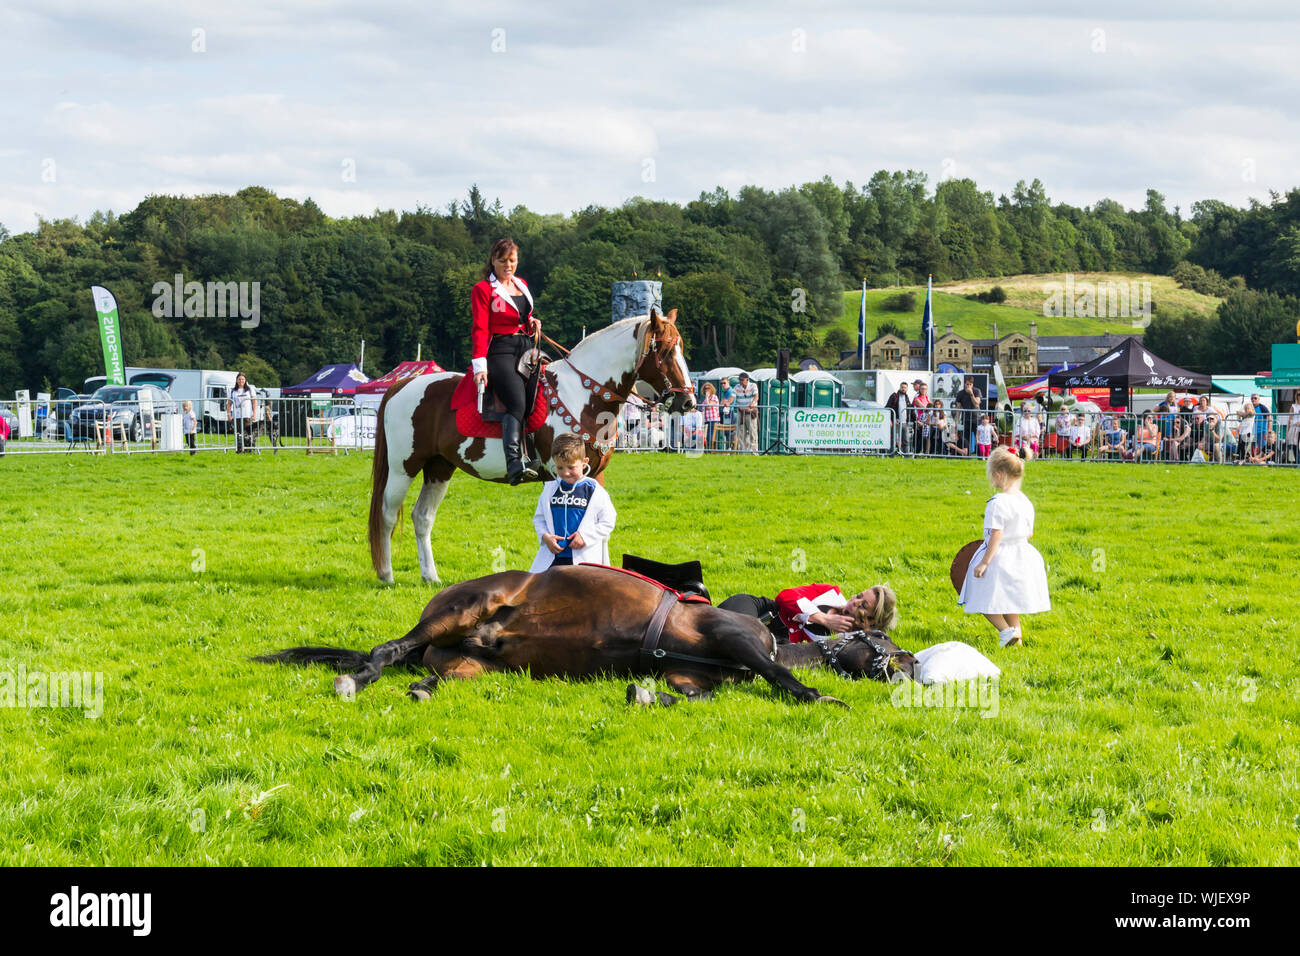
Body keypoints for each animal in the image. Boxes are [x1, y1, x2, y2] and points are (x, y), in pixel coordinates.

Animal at [369, 312, 691, 582]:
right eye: (664, 351)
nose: (687, 401)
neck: (584, 394)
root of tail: (402, 385)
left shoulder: (594, 475)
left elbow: (598, 529)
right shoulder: (559, 473)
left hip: (439, 468)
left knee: (422, 517)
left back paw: (430, 577)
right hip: (404, 468)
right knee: (387, 514)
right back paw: (386, 574)